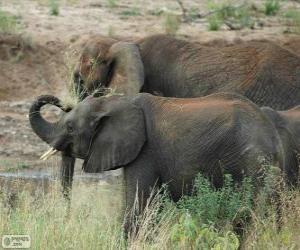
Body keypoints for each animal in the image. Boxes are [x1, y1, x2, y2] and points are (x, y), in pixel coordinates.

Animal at [29, 92, 288, 234]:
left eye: (70, 127)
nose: (62, 103)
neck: (115, 100)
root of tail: (273, 137)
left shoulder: (146, 151)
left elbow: (139, 206)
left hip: (250, 162)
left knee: (246, 214)